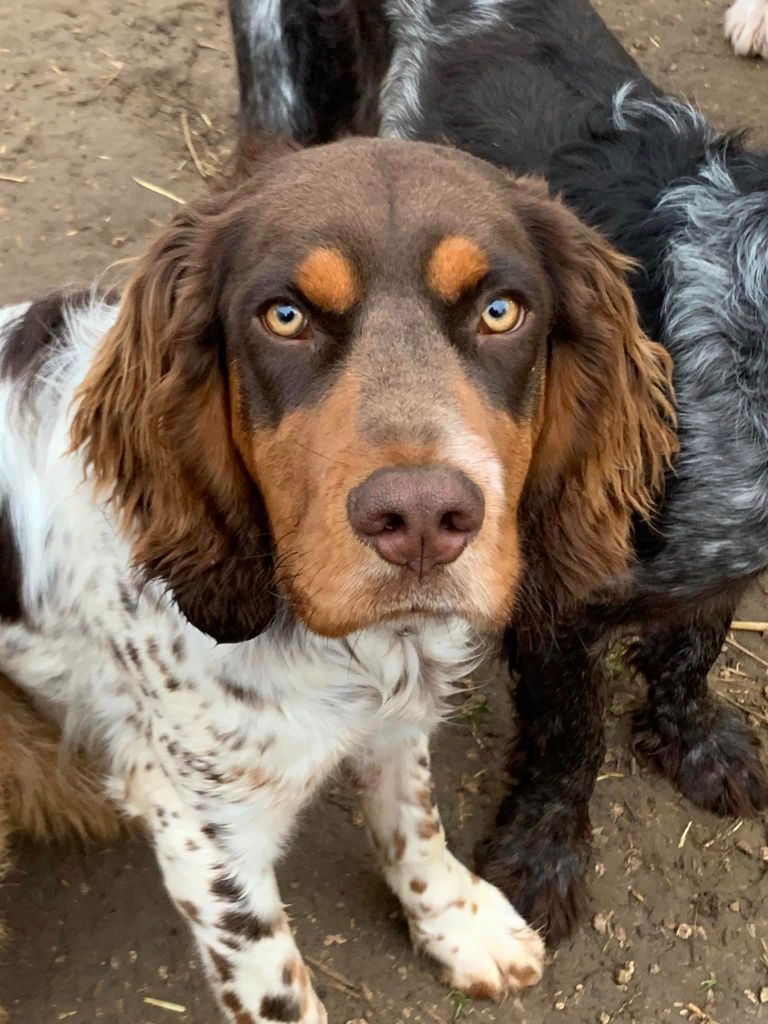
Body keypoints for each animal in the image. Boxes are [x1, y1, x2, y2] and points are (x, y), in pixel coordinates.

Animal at [0, 122, 675, 1018]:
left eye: (500, 310)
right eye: (285, 317)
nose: (421, 519)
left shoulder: (399, 714)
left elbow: (413, 821)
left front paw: (458, 923)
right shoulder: (206, 833)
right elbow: (275, 981)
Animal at [229, 0, 768, 945]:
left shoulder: (716, 557)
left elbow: (693, 645)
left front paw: (695, 743)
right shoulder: (559, 585)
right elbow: (570, 733)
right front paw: (541, 858)